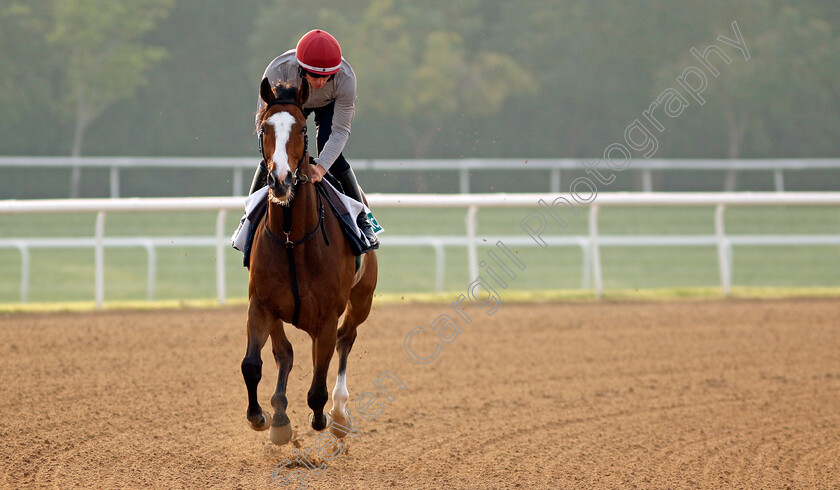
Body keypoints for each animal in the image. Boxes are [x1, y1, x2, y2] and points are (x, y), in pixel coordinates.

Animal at [240, 75, 378, 444]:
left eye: (302, 129)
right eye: (264, 128)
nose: (281, 180)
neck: (292, 240)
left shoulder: (327, 316)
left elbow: (318, 384)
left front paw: (321, 418)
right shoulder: (262, 304)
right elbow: (254, 364)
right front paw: (264, 417)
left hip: (362, 299)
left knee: (346, 340)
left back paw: (339, 414)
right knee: (286, 353)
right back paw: (280, 415)